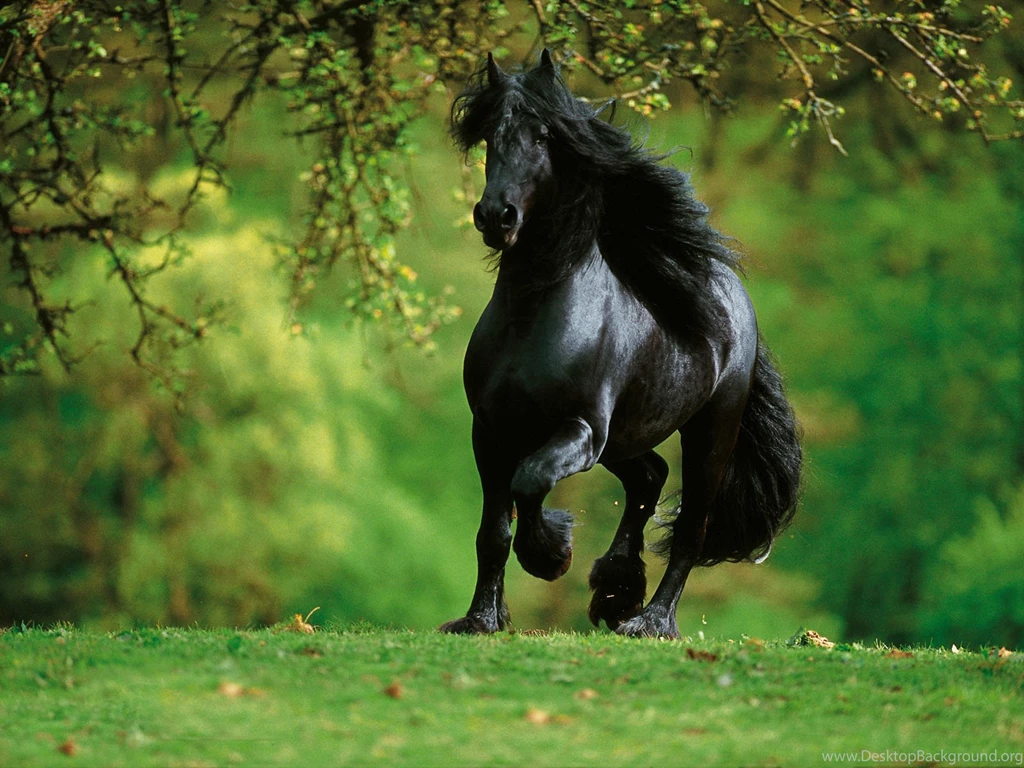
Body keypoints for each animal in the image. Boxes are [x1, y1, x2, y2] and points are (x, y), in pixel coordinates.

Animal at [438, 50, 802, 639]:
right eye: (491, 135)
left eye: (543, 136)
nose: (496, 216)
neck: (533, 319)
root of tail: (734, 296)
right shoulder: (490, 431)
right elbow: (493, 531)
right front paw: (480, 620)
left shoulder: (581, 429)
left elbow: (530, 481)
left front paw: (551, 555)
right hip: (627, 439)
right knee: (649, 478)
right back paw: (615, 590)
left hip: (709, 433)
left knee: (691, 529)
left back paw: (650, 621)